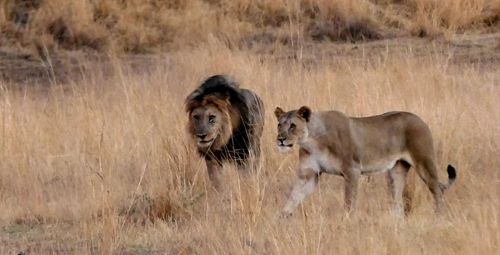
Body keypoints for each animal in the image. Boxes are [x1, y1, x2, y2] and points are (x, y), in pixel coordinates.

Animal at [276, 106, 456, 217]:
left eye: (292, 126)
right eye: (279, 125)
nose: (280, 139)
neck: (312, 141)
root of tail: (419, 119)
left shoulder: (352, 170)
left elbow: (349, 201)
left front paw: (347, 221)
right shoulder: (310, 174)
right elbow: (294, 196)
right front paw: (282, 218)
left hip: (424, 163)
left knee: (437, 191)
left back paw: (438, 216)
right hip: (396, 171)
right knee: (398, 201)